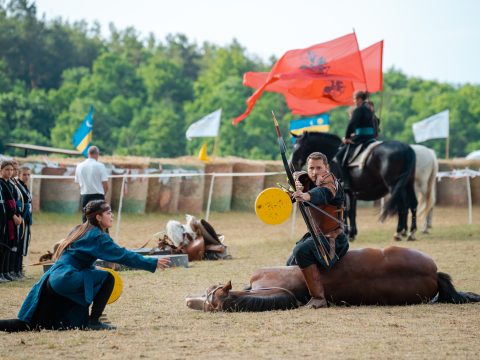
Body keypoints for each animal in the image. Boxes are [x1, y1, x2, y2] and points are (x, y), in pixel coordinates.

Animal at [288, 131, 416, 240]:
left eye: (298, 147)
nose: (291, 165)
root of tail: (407, 148)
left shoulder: (344, 191)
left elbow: (345, 211)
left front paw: (346, 232)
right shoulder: (351, 193)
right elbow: (352, 212)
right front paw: (352, 232)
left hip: (394, 186)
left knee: (402, 206)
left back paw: (399, 232)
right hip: (408, 185)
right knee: (412, 204)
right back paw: (410, 232)